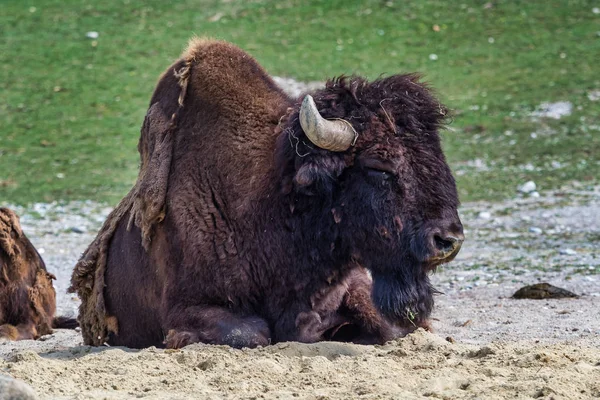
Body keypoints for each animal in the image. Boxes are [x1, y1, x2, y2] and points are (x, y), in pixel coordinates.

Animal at [70, 38, 464, 350]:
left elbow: (386, 326)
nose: (448, 239)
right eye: (380, 166)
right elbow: (253, 333)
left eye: (437, 152)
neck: (275, 203)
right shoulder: (186, 307)